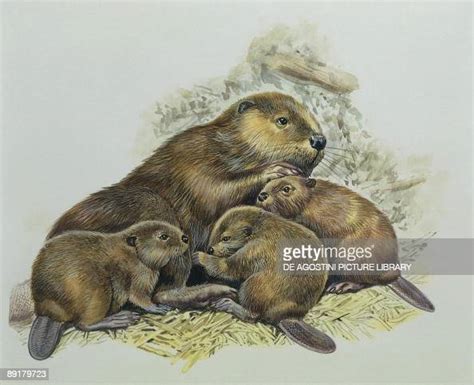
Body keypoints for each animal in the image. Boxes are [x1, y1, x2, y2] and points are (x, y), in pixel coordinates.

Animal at [28, 220, 189, 358]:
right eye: (163, 236)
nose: (186, 238)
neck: (132, 254)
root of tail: (47, 314)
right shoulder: (139, 275)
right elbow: (138, 296)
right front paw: (159, 307)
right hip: (98, 291)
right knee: (83, 324)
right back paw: (121, 319)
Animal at [191, 207, 336, 354]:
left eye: (226, 238)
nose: (210, 249)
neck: (261, 229)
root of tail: (290, 317)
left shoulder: (255, 249)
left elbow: (229, 267)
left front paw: (199, 257)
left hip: (254, 286)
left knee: (253, 315)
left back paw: (226, 303)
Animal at [258, 175, 436, 312]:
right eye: (267, 184)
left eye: (286, 188)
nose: (262, 195)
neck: (313, 200)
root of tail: (394, 274)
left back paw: (341, 286)